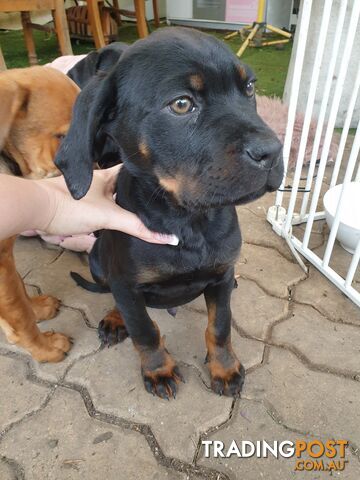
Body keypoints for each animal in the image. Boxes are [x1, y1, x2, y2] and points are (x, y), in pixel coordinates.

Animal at [55, 28, 284, 400]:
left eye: (249, 87)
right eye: (181, 104)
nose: (273, 151)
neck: (188, 221)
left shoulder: (219, 275)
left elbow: (220, 326)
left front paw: (224, 368)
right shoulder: (127, 283)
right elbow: (144, 330)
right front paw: (158, 370)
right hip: (97, 256)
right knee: (116, 298)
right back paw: (115, 319)